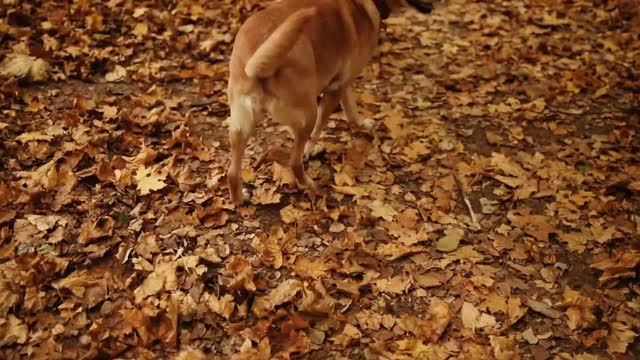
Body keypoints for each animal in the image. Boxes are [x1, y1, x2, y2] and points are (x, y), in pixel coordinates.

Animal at [225, 0, 430, 204]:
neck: (362, 5)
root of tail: (258, 69)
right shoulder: (335, 90)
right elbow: (321, 127)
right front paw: (311, 149)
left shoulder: (343, 84)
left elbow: (351, 111)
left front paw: (362, 125)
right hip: (309, 113)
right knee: (294, 162)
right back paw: (311, 185)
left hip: (241, 128)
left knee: (232, 173)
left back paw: (239, 199)